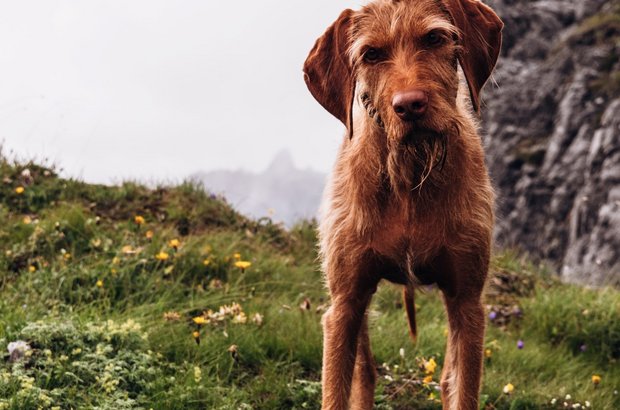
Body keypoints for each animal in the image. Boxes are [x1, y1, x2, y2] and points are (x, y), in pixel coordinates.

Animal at [302, 0, 502, 410]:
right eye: (371, 54)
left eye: (435, 38)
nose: (410, 106)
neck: (410, 174)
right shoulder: (344, 304)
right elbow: (338, 388)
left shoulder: (467, 303)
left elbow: (462, 389)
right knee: (364, 372)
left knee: (446, 378)